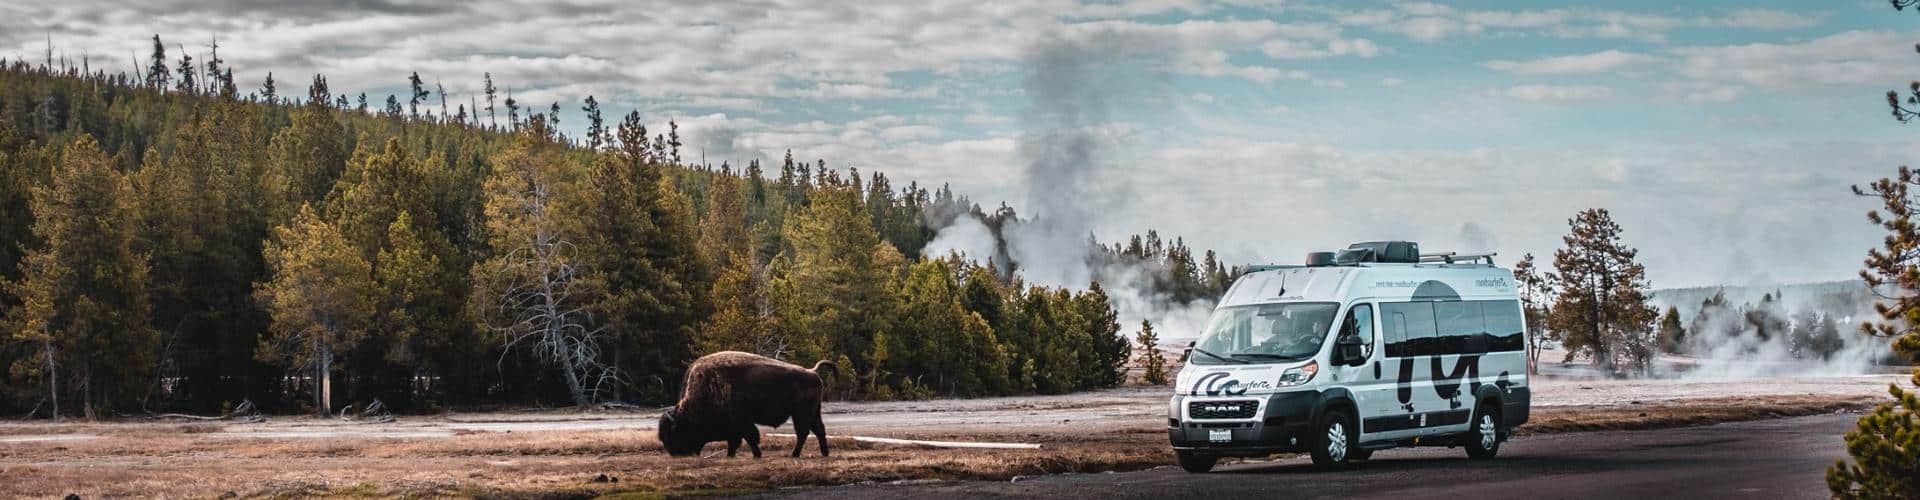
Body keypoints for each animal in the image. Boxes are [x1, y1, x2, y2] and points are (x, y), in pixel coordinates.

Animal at [657, 351, 833, 458]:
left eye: (674, 433)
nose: (675, 453)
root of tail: (812, 371)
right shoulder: (735, 426)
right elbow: (736, 440)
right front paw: (731, 455)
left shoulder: (742, 422)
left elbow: (749, 438)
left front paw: (756, 455)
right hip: (812, 412)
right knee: (818, 430)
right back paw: (824, 453)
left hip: (801, 413)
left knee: (803, 432)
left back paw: (795, 454)